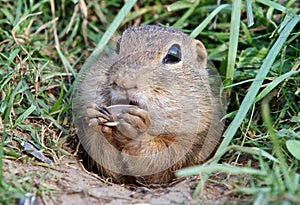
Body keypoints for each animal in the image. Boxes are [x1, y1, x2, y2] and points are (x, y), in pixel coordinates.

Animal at [72, 24, 223, 183]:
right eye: (118, 46)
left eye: (174, 55)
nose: (124, 82)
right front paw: (95, 115)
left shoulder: (191, 139)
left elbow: (160, 161)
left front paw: (137, 127)